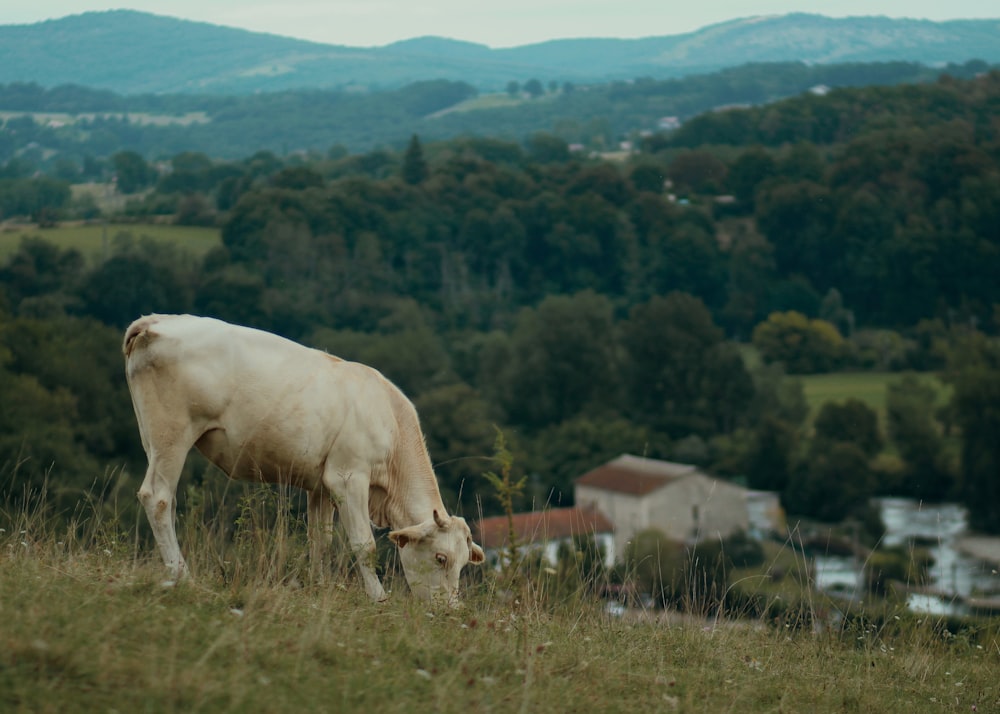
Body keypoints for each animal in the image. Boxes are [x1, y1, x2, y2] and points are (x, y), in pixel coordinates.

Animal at [125, 314, 484, 596]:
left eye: (463, 564)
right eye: (441, 558)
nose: (450, 610)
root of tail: (156, 320)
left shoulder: (321, 485)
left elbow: (319, 541)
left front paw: (320, 589)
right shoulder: (348, 476)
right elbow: (363, 545)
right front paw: (378, 598)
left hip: (151, 437)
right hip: (172, 433)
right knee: (158, 497)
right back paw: (182, 577)